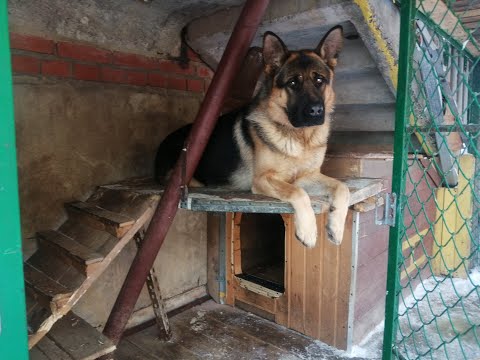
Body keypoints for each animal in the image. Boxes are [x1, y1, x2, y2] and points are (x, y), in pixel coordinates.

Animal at [157, 26, 348, 248]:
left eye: (319, 80)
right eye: (293, 83)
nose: (317, 111)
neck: (300, 137)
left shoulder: (306, 177)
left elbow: (342, 186)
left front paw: (336, 227)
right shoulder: (263, 179)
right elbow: (298, 193)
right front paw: (308, 231)